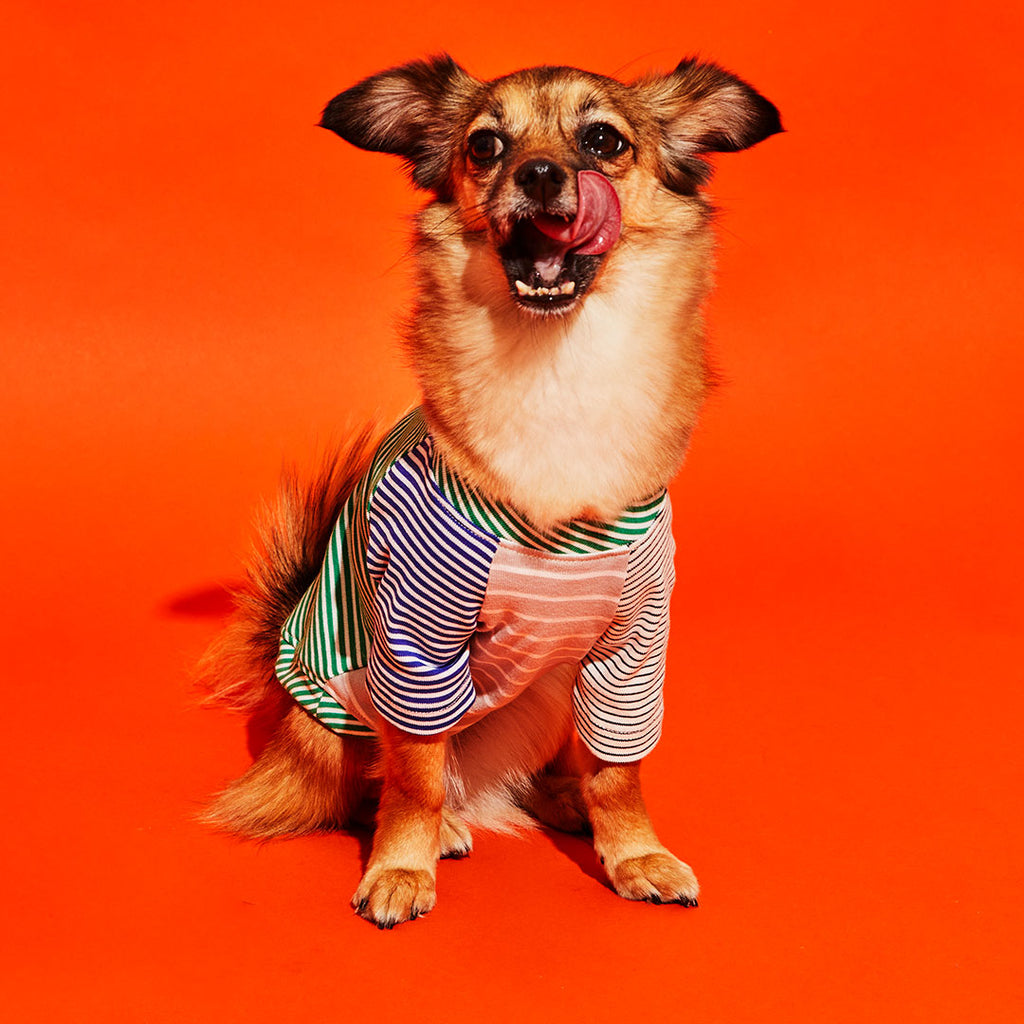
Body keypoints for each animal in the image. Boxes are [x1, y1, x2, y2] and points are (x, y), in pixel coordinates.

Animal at [199, 54, 778, 929]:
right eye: (485, 146)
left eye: (604, 141)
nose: (538, 173)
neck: (557, 368)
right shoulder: (416, 645)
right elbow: (414, 775)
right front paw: (402, 865)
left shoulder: (633, 643)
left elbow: (621, 770)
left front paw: (634, 853)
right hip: (333, 718)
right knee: (380, 787)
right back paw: (439, 829)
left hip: (553, 687)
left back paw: (562, 798)